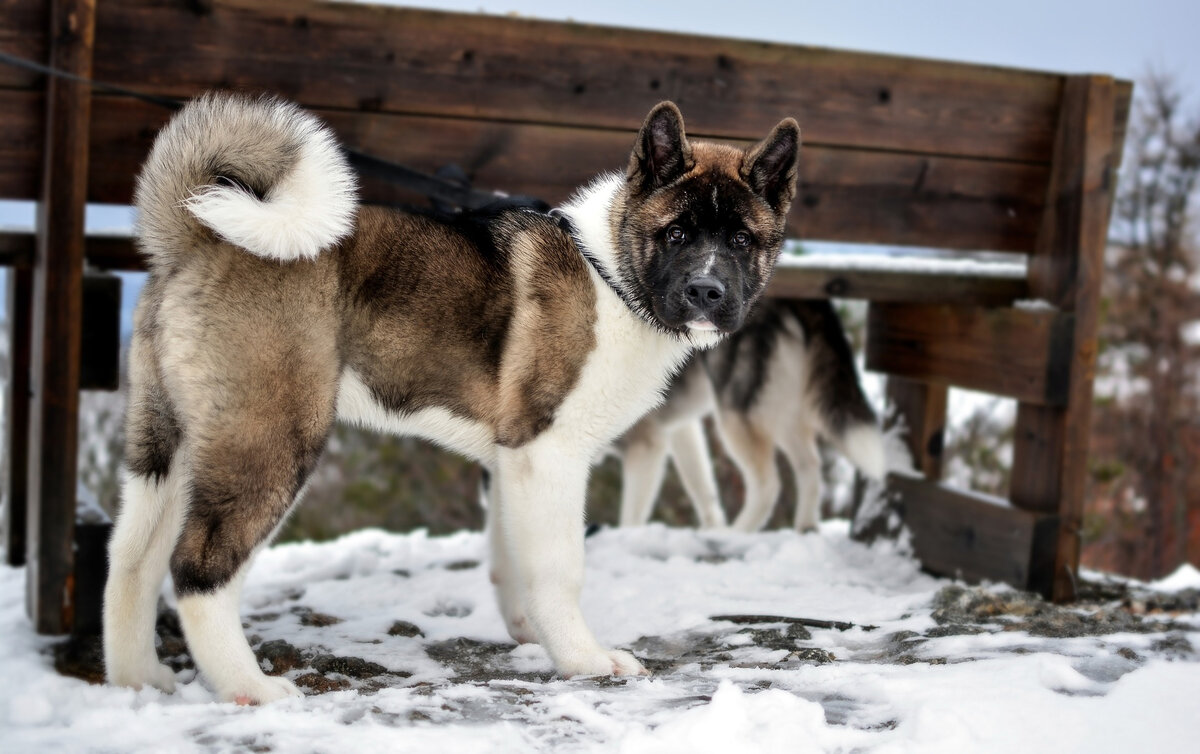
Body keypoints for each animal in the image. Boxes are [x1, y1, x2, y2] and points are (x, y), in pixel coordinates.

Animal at [100, 93, 796, 701]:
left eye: (740, 241)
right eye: (676, 234)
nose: (706, 292)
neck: (611, 275)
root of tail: (197, 238)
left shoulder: (513, 460)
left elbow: (512, 559)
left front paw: (531, 638)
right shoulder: (547, 451)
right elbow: (559, 568)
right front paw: (585, 660)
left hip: (167, 447)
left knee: (131, 560)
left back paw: (141, 681)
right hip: (272, 439)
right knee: (198, 568)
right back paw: (249, 687)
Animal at [614, 296, 888, 530]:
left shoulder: (646, 443)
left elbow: (631, 518)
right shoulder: (679, 429)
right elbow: (703, 490)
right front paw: (712, 529)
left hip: (737, 417)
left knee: (768, 486)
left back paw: (736, 535)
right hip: (780, 411)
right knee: (809, 465)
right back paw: (805, 527)